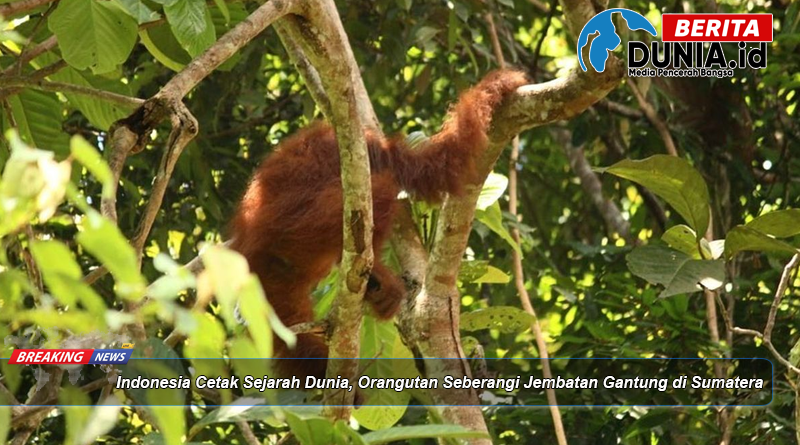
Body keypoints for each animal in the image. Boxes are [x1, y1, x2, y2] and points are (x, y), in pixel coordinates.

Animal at [228, 69, 527, 380]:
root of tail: (251, 252)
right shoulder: (373, 155)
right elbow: (441, 162)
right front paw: (501, 83)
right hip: (299, 226)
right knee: (379, 189)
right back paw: (377, 277)